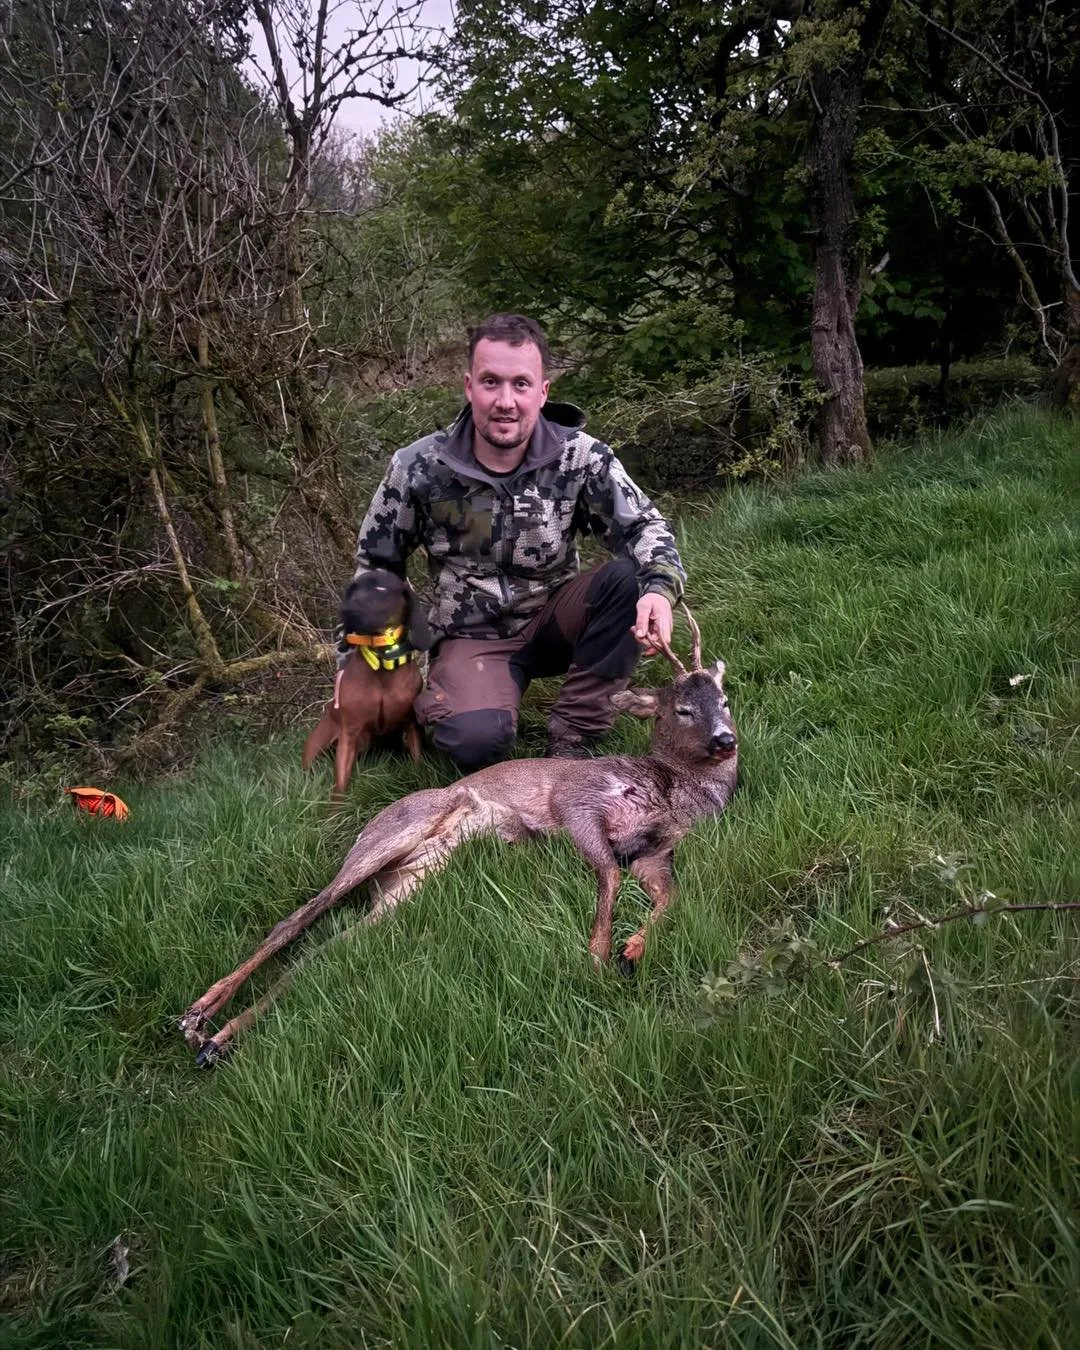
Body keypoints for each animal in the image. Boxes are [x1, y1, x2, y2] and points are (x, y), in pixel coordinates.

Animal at [179, 608, 736, 1066]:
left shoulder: (655, 850)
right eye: (683, 709)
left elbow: (670, 896)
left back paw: (218, 1039)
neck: (669, 788)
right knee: (299, 917)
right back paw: (197, 1015)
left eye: (725, 700)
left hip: (409, 883)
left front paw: (633, 950)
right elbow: (608, 878)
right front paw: (598, 958)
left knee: (330, 948)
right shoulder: (577, 801)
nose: (725, 741)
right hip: (396, 831)